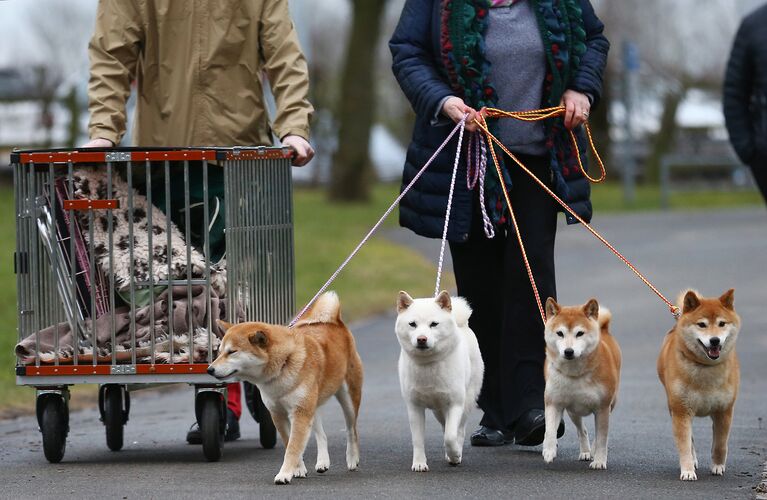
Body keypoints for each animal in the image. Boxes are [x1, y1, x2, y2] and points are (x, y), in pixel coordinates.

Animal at [207, 292, 364, 484]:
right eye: (219, 351)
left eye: (232, 352)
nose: (209, 369)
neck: (284, 364)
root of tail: (335, 322)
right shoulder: (279, 414)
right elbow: (290, 443)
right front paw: (298, 469)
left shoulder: (299, 413)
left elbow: (293, 447)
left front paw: (284, 474)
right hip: (312, 405)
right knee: (321, 434)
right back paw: (322, 462)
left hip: (347, 399)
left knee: (351, 430)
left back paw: (352, 458)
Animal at [396, 292, 486, 470]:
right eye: (412, 324)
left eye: (434, 324)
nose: (421, 339)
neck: (428, 364)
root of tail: (462, 325)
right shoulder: (414, 407)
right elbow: (417, 439)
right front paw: (419, 463)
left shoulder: (455, 404)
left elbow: (450, 436)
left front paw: (455, 454)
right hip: (438, 410)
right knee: (445, 425)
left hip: (467, 401)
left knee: (459, 430)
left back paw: (455, 453)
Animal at [656, 290, 740, 480]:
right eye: (702, 324)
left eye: (722, 323)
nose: (715, 340)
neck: (706, 367)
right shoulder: (681, 411)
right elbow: (685, 444)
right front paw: (687, 470)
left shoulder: (724, 410)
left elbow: (720, 444)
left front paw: (717, 466)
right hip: (675, 407)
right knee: (690, 440)